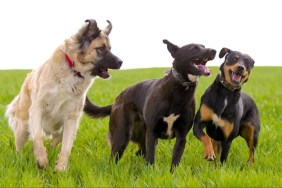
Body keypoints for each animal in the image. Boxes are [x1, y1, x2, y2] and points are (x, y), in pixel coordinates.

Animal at [5, 19, 122, 172]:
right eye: (101, 48)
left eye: (110, 48)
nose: (121, 62)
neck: (73, 71)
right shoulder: (37, 109)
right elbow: (37, 137)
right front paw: (41, 160)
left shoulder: (72, 118)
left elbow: (66, 147)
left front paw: (60, 168)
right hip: (22, 126)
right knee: (19, 145)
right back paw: (20, 160)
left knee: (56, 138)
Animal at [104, 39, 215, 170]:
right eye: (193, 48)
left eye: (203, 46)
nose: (214, 51)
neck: (180, 89)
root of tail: (118, 98)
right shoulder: (152, 134)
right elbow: (151, 159)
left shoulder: (181, 136)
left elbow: (175, 161)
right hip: (122, 136)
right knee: (114, 158)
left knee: (140, 152)